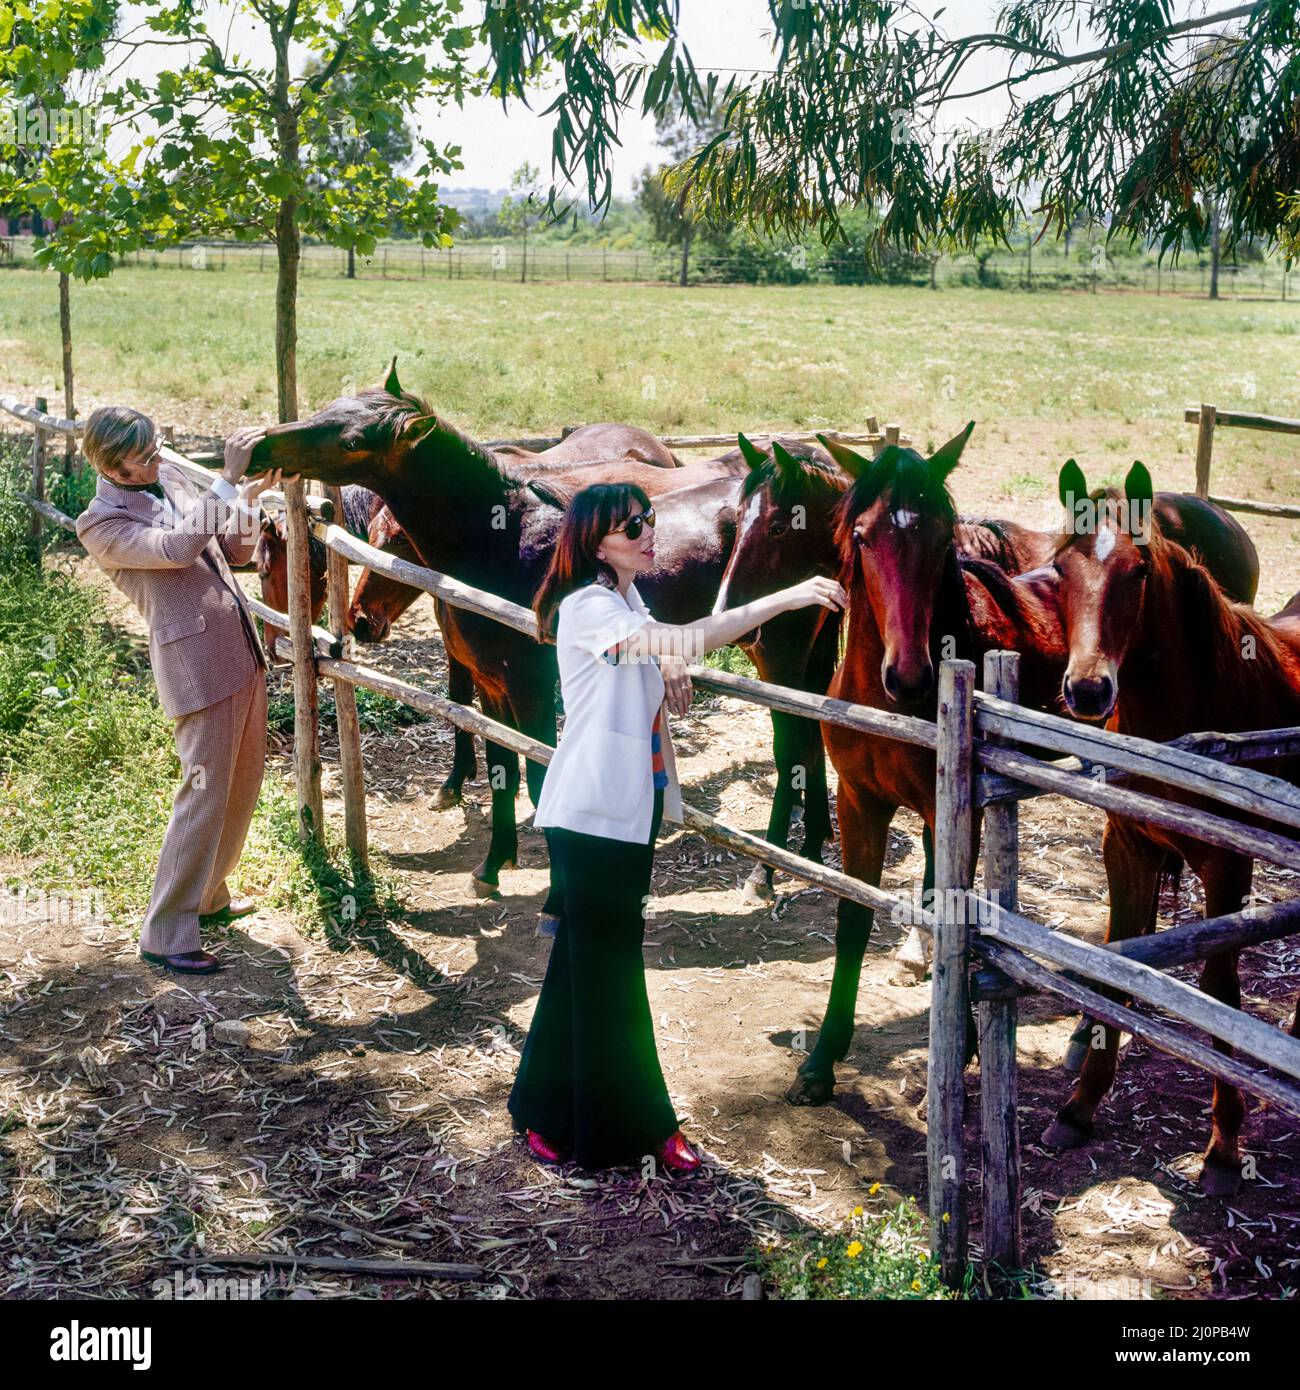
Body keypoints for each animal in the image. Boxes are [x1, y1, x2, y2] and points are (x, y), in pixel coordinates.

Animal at [247, 362, 741, 900]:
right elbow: (501, 767)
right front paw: (492, 864)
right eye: (327, 409)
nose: (261, 448)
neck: (504, 546)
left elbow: (541, 774)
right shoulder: (491, 687)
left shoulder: (531, 687)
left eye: (353, 441)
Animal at [1041, 459, 1300, 1196]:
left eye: (1138, 571)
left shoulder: (1226, 866)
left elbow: (1220, 992)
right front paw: (1078, 1108)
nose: (1089, 690)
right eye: (1060, 567)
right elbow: (1113, 961)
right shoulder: (1127, 848)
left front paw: (1223, 1149)